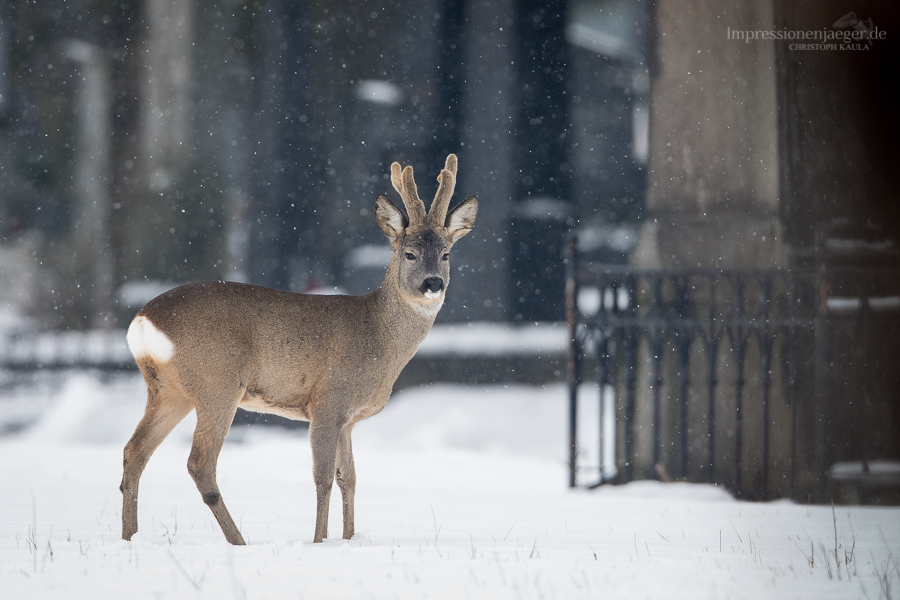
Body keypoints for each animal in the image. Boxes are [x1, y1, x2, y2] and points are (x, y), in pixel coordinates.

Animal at [123, 154, 482, 544]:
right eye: (410, 254)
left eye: (446, 254)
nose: (433, 284)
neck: (378, 338)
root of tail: (142, 320)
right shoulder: (328, 402)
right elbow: (323, 478)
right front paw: (319, 541)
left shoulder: (347, 420)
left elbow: (349, 479)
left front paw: (348, 539)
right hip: (217, 382)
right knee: (199, 462)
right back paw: (239, 541)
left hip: (169, 390)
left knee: (135, 451)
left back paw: (130, 537)